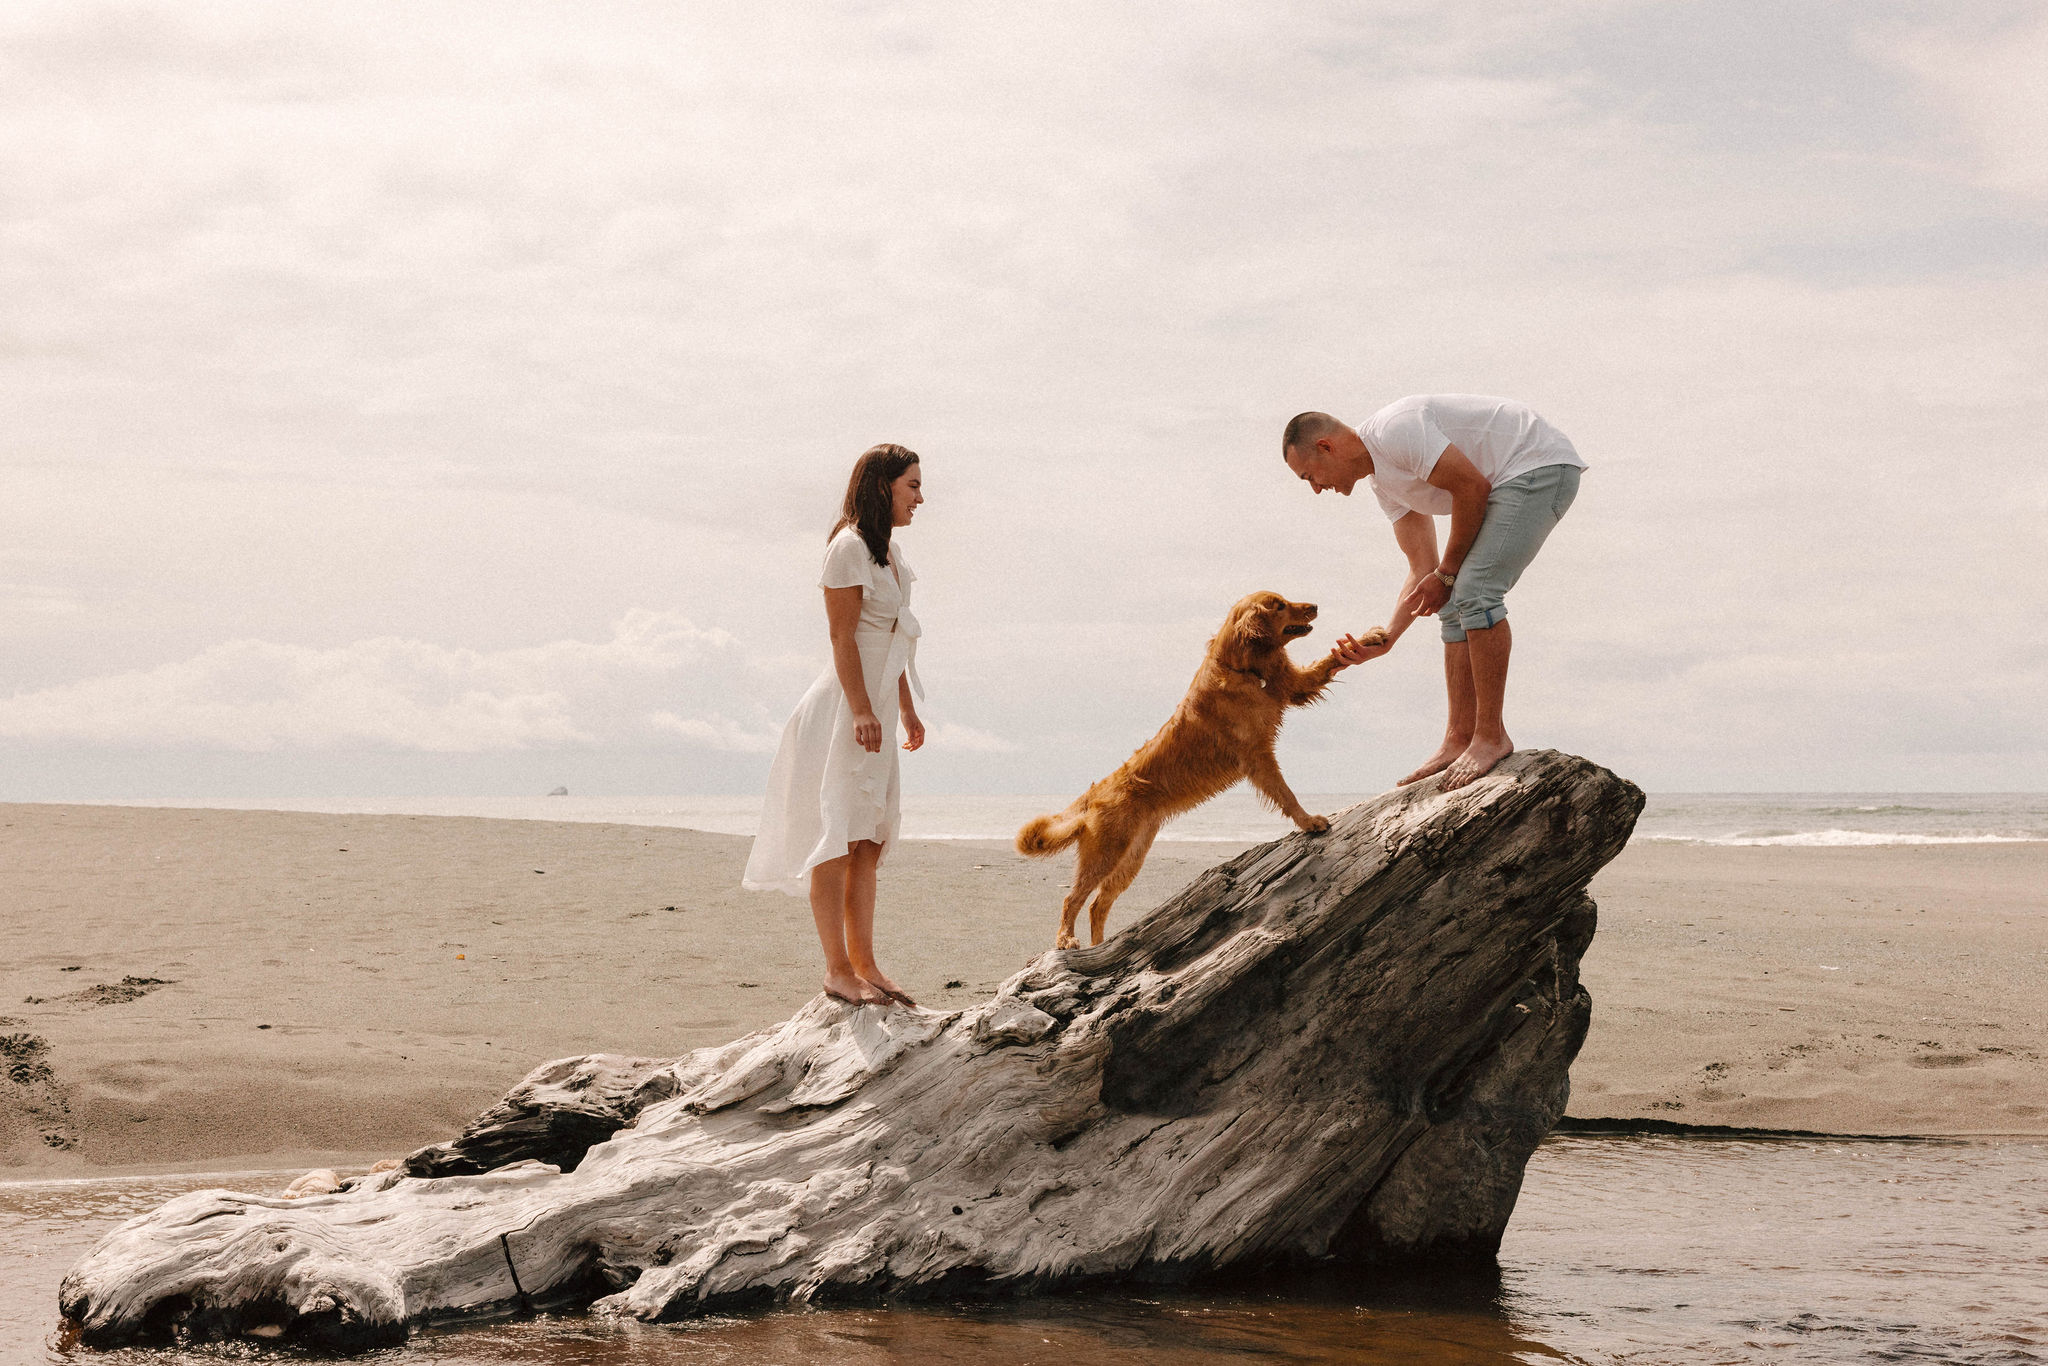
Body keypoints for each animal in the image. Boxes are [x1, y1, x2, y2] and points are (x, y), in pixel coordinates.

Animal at [1015, 589, 1384, 950]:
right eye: (1279, 605)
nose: (1315, 605)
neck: (1242, 667)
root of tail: (1094, 793)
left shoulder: (1292, 686)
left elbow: (1329, 660)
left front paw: (1369, 637)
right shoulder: (1258, 755)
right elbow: (1286, 793)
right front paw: (1309, 822)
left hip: (1131, 857)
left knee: (1098, 904)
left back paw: (1100, 946)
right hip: (1107, 852)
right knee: (1073, 898)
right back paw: (1066, 939)